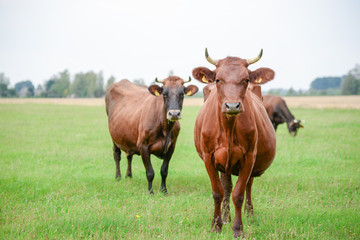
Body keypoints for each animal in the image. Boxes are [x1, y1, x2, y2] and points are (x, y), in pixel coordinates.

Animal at [194, 48, 276, 238]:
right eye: (218, 79)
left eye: (246, 79)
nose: (232, 106)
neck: (228, 128)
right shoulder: (209, 157)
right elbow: (218, 192)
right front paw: (216, 225)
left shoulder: (249, 157)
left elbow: (239, 194)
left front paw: (238, 229)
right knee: (226, 186)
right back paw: (225, 217)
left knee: (248, 186)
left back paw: (249, 213)